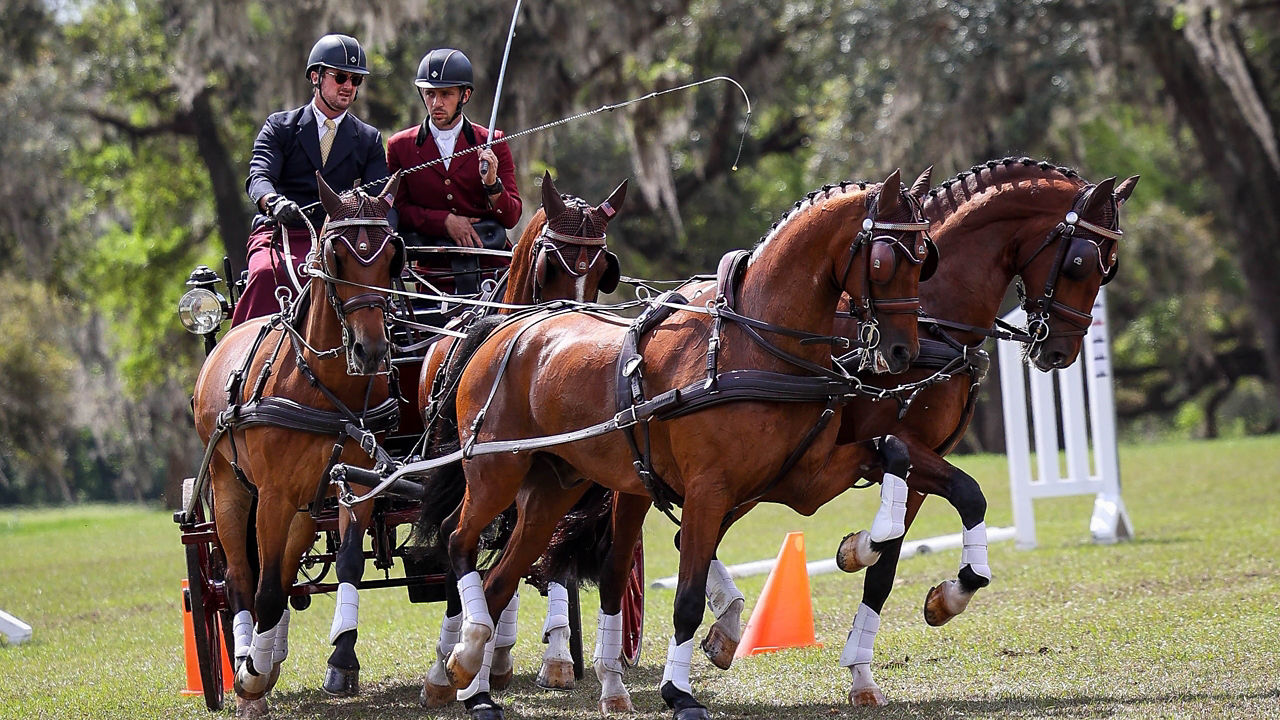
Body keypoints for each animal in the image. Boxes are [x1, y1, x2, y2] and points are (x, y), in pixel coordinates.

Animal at [188, 172, 399, 712]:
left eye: (393, 255)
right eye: (336, 257)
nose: (370, 351)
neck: (322, 388)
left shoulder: (356, 483)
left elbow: (346, 563)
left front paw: (341, 659)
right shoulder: (274, 494)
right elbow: (260, 588)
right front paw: (249, 677)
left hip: (307, 504)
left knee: (283, 574)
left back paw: (269, 654)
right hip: (232, 488)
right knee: (240, 578)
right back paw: (248, 666)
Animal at [424, 169, 936, 717]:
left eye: (924, 256)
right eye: (883, 261)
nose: (903, 351)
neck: (755, 347)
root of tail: (506, 326)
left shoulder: (804, 481)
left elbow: (894, 450)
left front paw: (864, 544)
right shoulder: (707, 492)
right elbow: (687, 597)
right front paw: (679, 692)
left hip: (554, 488)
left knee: (500, 581)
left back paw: (478, 689)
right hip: (496, 471)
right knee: (458, 540)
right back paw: (465, 657)